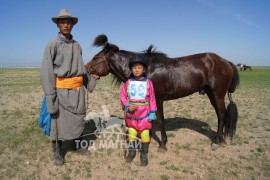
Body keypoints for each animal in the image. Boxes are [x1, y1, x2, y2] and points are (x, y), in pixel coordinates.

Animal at [85, 34, 239, 150]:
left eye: (95, 57)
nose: (85, 69)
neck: (145, 70)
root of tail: (226, 61)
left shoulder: (158, 100)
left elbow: (160, 120)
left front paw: (163, 144)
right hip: (211, 94)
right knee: (220, 115)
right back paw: (220, 138)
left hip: (217, 94)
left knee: (222, 115)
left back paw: (216, 141)